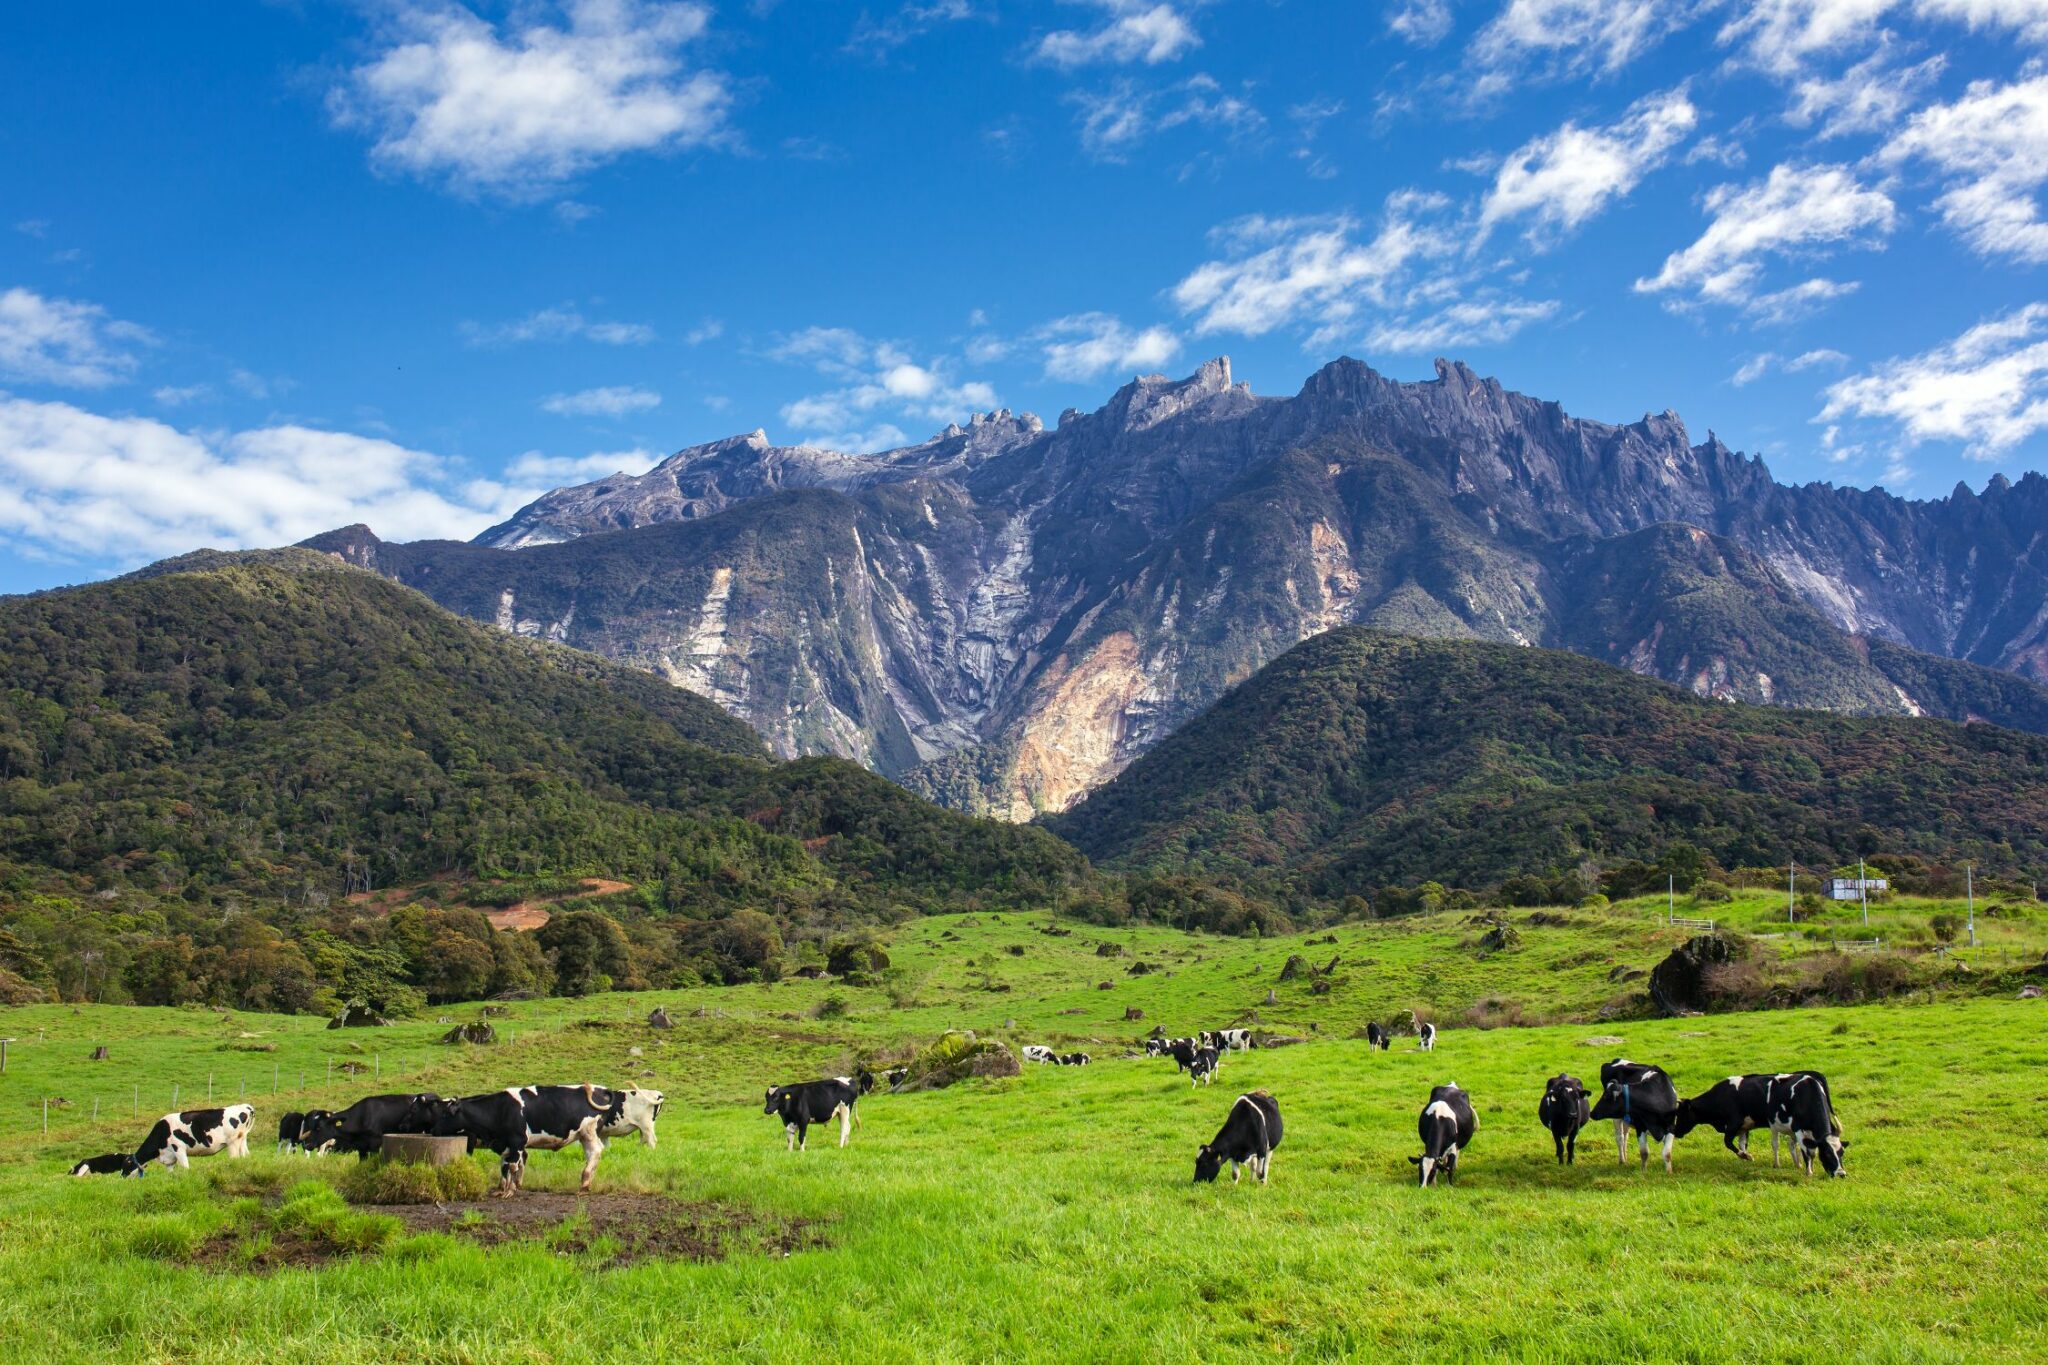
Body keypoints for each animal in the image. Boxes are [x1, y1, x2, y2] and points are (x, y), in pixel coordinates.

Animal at [430, 1088, 622, 1195]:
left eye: (446, 1114)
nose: (433, 1130)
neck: (500, 1109)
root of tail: (599, 1090)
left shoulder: (517, 1141)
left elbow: (513, 1166)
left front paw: (510, 1191)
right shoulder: (506, 1144)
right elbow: (504, 1166)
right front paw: (501, 1189)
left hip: (589, 1132)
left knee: (594, 1153)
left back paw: (584, 1184)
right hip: (584, 1135)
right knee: (592, 1154)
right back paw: (586, 1184)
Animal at [1671, 1072, 1851, 1178]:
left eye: (1841, 1153)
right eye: (1827, 1153)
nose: (1841, 1173)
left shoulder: (1735, 1123)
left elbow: (1728, 1142)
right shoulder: (1743, 1126)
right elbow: (1740, 1144)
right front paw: (1745, 1157)